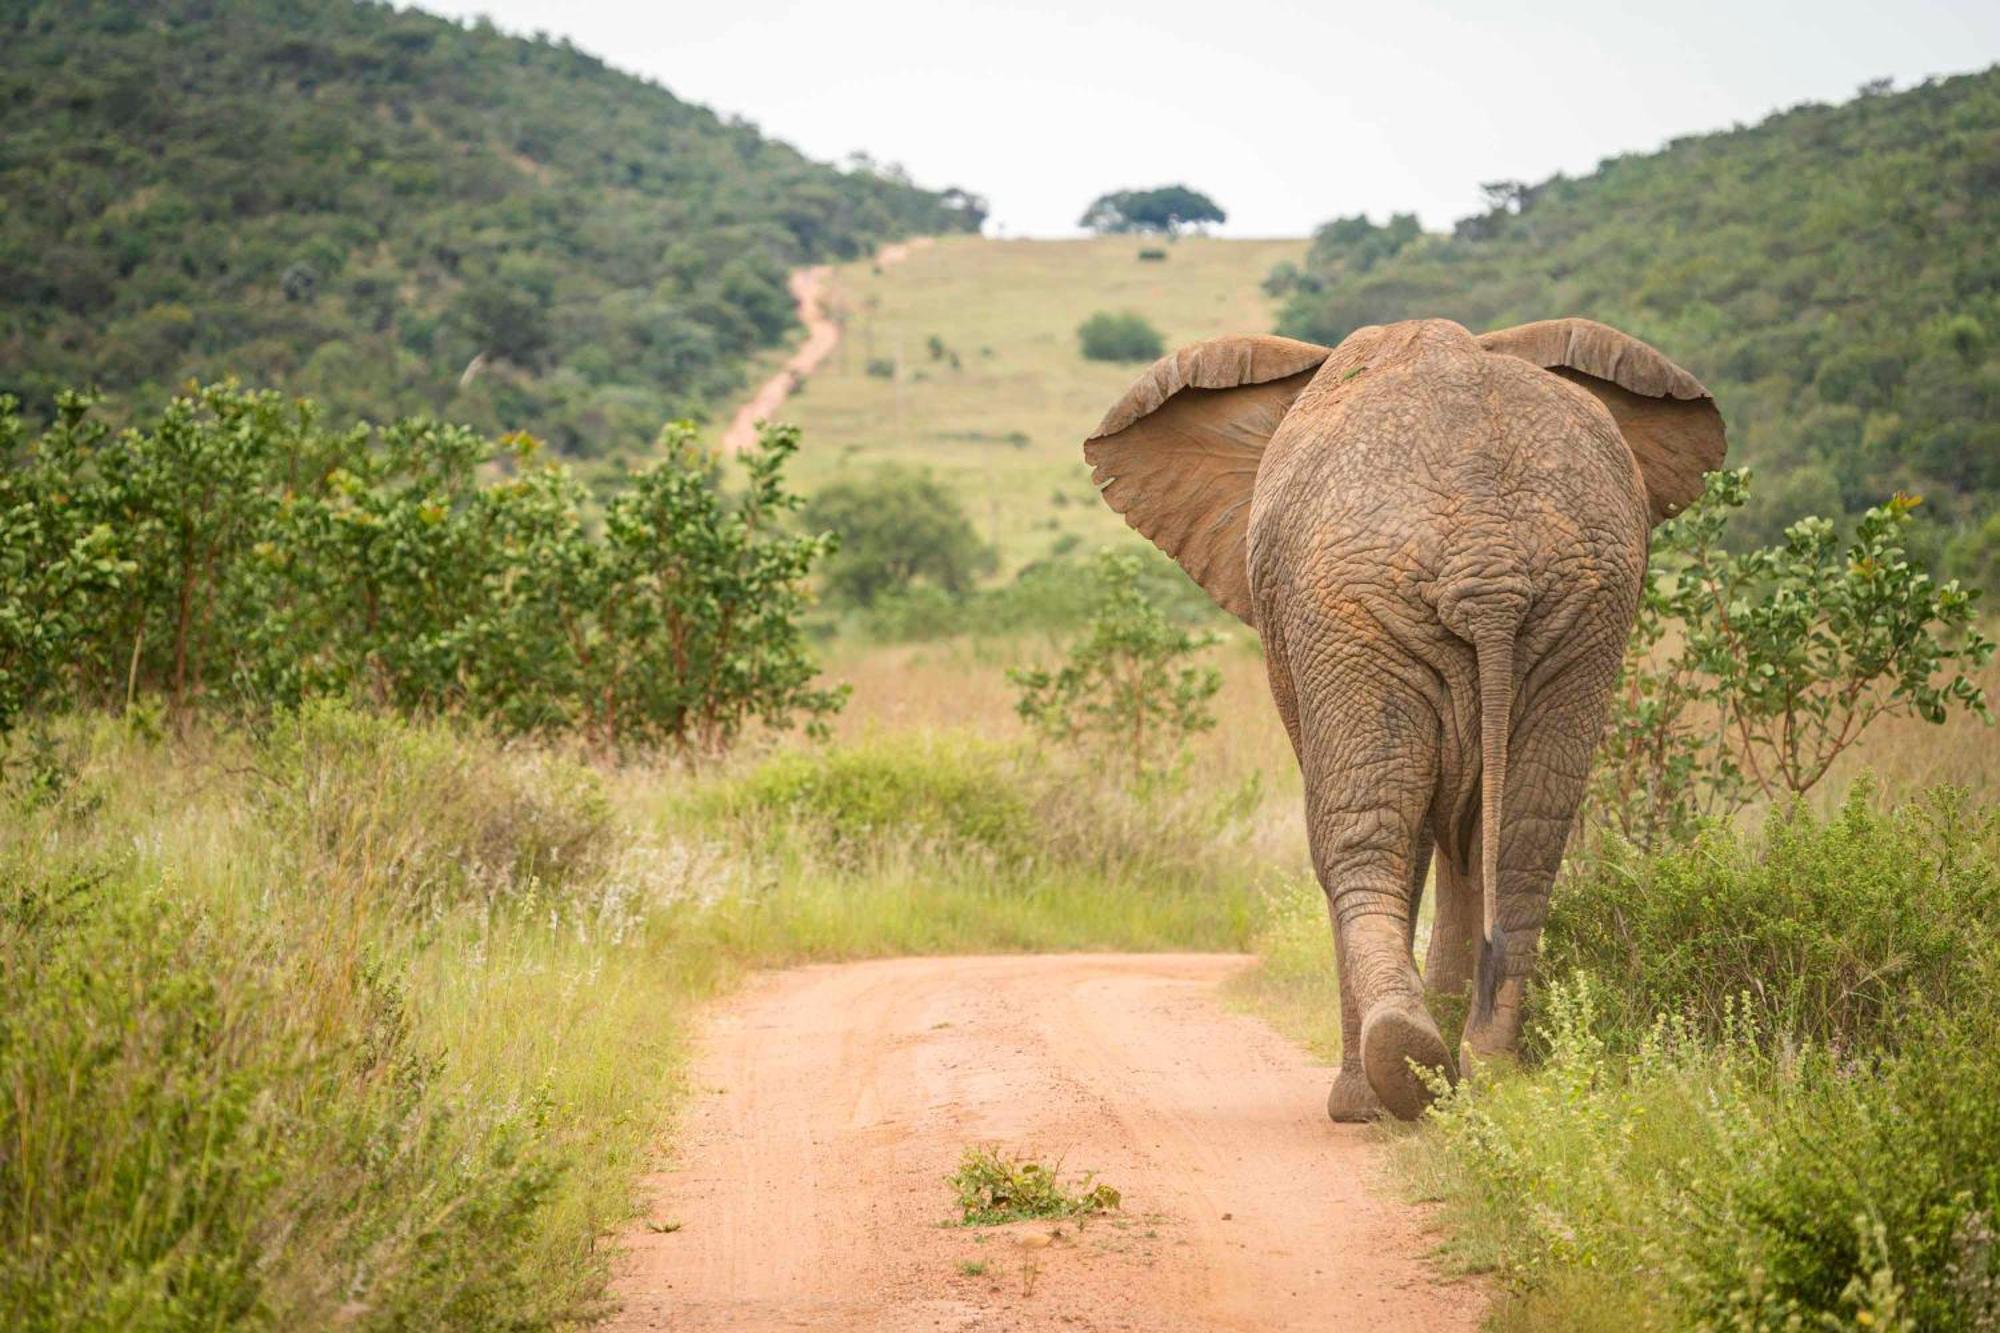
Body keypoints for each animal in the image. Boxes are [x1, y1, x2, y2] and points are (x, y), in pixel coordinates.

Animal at [1088, 316, 1728, 1112]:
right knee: (1522, 836)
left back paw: (1385, 1080)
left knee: (1367, 831)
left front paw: (1384, 1093)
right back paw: (1484, 1070)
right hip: (1582, 605)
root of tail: (1487, 556)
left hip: (1351, 604)